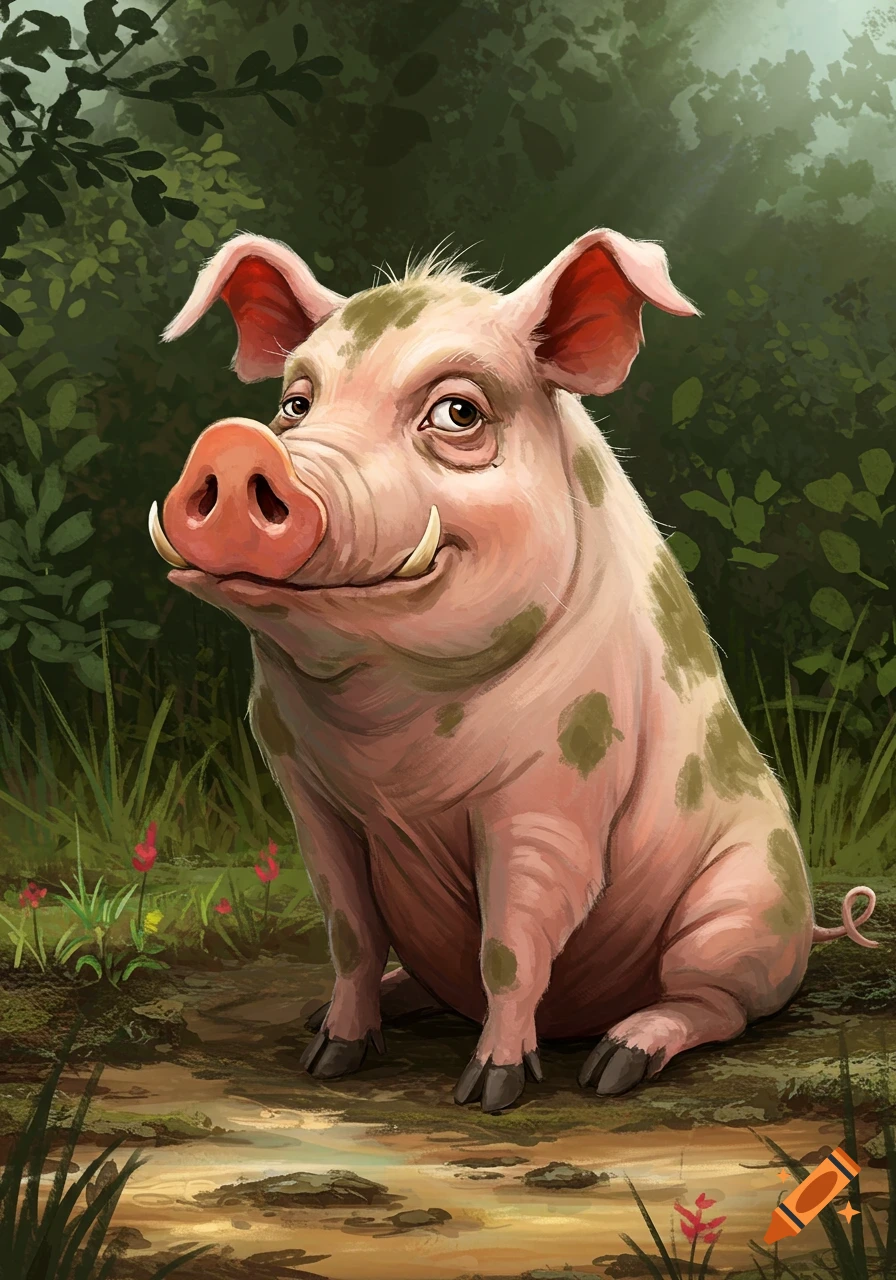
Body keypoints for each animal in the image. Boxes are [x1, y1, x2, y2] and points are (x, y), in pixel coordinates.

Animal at [153, 229, 877, 1114]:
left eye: (458, 412)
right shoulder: (307, 795)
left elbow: (510, 947)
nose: (233, 444)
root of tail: (813, 922)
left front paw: (490, 1091)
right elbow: (350, 933)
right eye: (296, 404)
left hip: (739, 907)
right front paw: (327, 1058)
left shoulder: (555, 793)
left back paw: (616, 1062)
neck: (384, 735)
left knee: (714, 1003)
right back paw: (331, 1012)